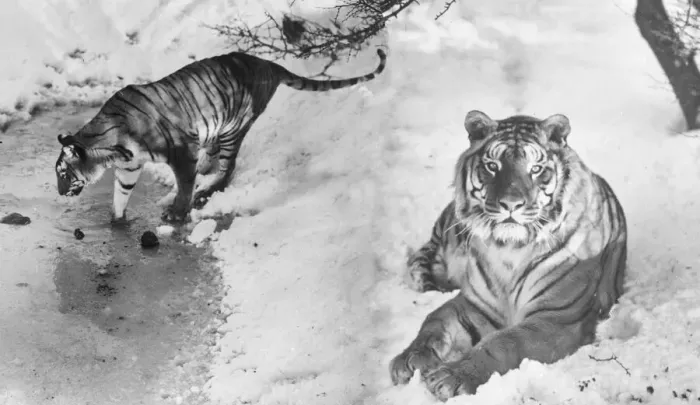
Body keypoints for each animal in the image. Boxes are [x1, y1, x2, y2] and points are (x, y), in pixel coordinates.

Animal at [54, 49, 387, 223]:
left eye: (63, 174)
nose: (58, 193)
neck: (113, 148)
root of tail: (268, 63)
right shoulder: (129, 166)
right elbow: (121, 193)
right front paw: (117, 220)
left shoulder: (181, 151)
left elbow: (184, 185)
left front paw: (177, 213)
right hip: (215, 129)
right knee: (213, 161)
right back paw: (203, 173)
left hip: (233, 129)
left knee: (228, 169)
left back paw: (206, 189)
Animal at [389, 110, 627, 400]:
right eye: (493, 166)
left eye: (535, 169)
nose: (511, 204)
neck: (509, 249)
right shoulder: (475, 304)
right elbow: (434, 321)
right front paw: (410, 358)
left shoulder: (557, 318)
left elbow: (503, 343)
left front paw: (453, 376)